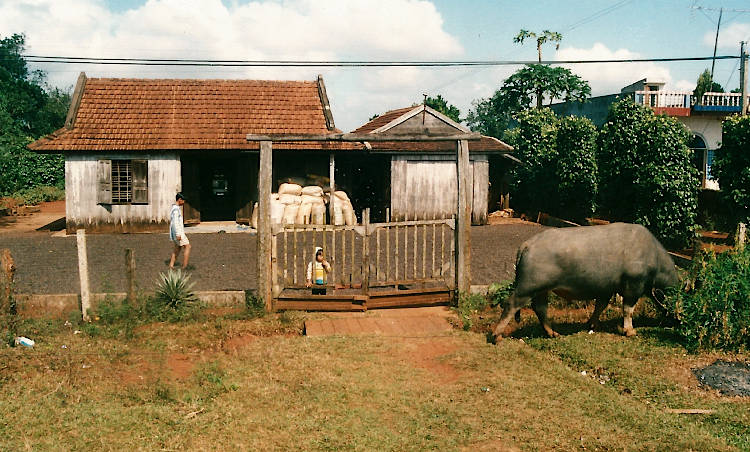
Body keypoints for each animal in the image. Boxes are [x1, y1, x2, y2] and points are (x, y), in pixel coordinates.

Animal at [494, 222, 680, 340]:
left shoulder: (606, 289)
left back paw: (552, 333)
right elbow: (628, 310)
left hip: (541, 289)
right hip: (528, 287)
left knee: (540, 308)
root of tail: (526, 245)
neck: (652, 254)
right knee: (511, 304)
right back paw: (496, 335)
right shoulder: (633, 287)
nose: (678, 321)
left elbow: (600, 306)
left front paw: (592, 324)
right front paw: (629, 330)